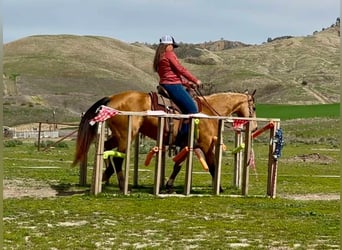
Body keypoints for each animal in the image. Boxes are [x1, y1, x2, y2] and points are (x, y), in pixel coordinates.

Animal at [73, 90, 256, 193]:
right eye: (253, 108)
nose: (253, 128)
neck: (208, 111)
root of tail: (111, 99)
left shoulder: (186, 144)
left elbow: (178, 165)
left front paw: (168, 184)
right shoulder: (205, 144)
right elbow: (212, 166)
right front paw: (219, 188)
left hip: (118, 136)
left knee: (106, 150)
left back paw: (104, 177)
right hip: (126, 136)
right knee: (118, 159)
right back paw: (122, 185)